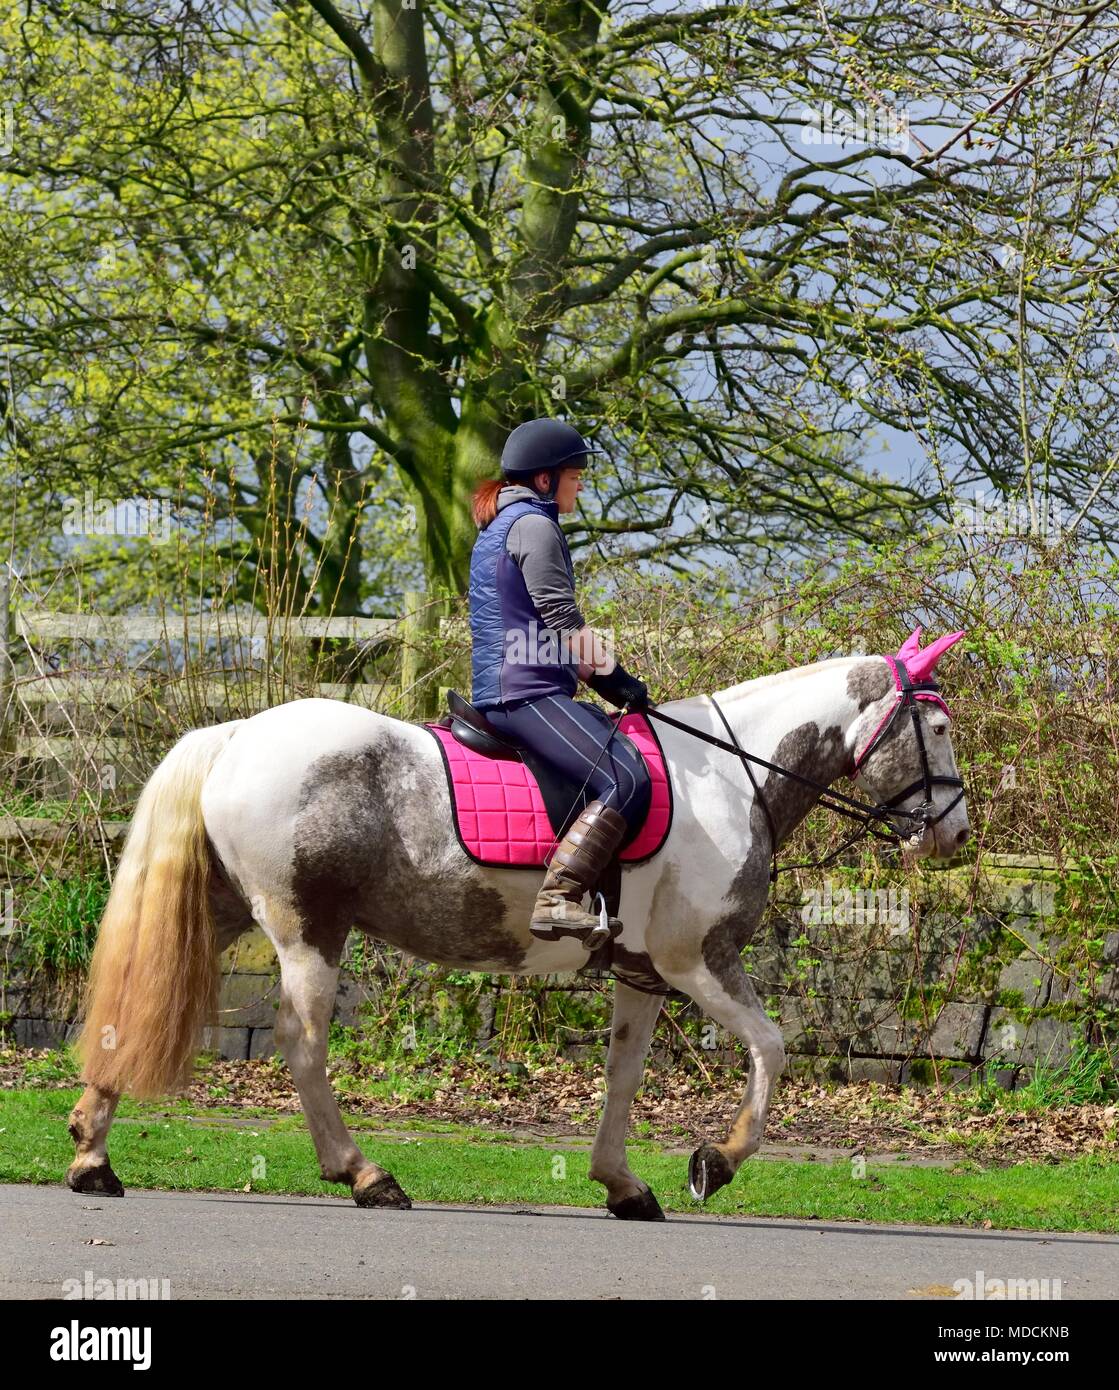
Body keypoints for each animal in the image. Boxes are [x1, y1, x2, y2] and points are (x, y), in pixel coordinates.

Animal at [63, 625, 967, 1223]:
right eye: (939, 728)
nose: (953, 834)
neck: (726, 774)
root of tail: (236, 734)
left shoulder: (643, 974)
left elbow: (622, 1077)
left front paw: (622, 1184)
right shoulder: (697, 961)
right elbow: (771, 1046)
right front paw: (716, 1160)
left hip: (225, 912)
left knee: (134, 1011)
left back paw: (91, 1155)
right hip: (307, 929)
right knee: (302, 1042)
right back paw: (364, 1174)